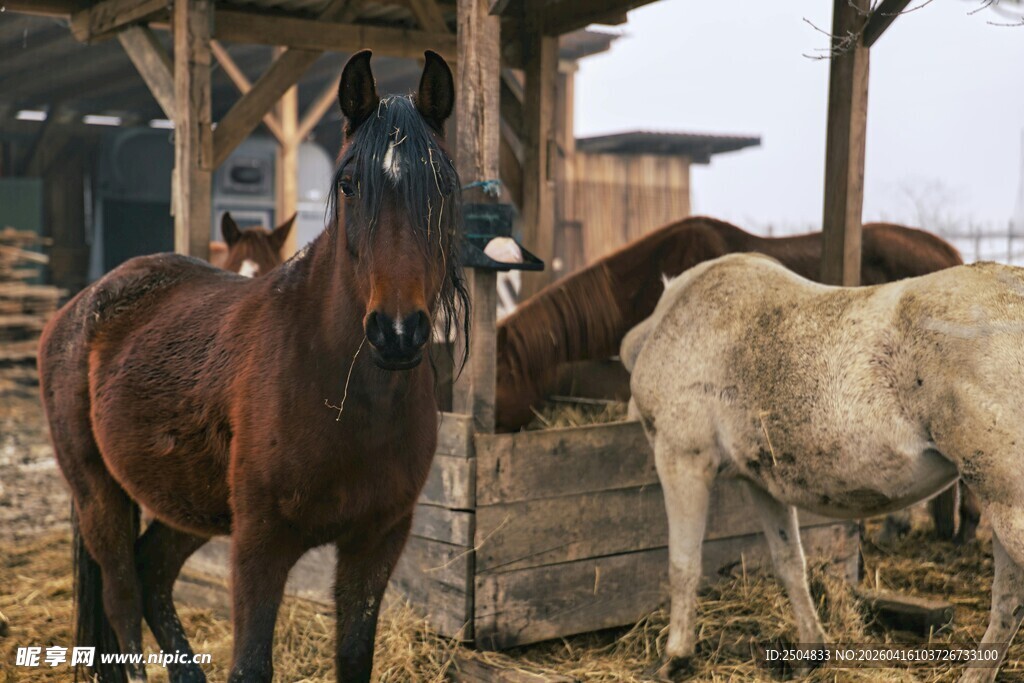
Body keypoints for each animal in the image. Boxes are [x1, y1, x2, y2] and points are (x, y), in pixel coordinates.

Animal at [37, 50, 467, 683]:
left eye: (443, 186)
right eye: (348, 184)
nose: (397, 332)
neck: (339, 393)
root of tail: (79, 306)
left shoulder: (376, 544)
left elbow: (353, 657)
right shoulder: (260, 546)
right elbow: (250, 664)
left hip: (190, 503)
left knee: (152, 574)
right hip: (98, 493)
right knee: (122, 597)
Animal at [622, 254, 1024, 683]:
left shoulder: (682, 458)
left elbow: (683, 565)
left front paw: (676, 655)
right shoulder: (760, 482)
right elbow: (789, 564)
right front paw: (812, 648)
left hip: (1007, 506)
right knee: (1007, 602)